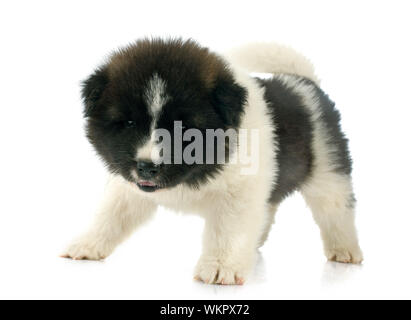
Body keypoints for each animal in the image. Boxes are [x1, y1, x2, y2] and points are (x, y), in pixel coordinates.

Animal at [62, 38, 364, 284]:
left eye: (184, 129)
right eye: (129, 123)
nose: (147, 166)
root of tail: (304, 82)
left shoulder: (238, 193)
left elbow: (227, 231)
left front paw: (221, 267)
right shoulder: (128, 188)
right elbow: (110, 215)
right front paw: (87, 245)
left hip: (328, 170)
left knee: (335, 210)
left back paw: (345, 250)